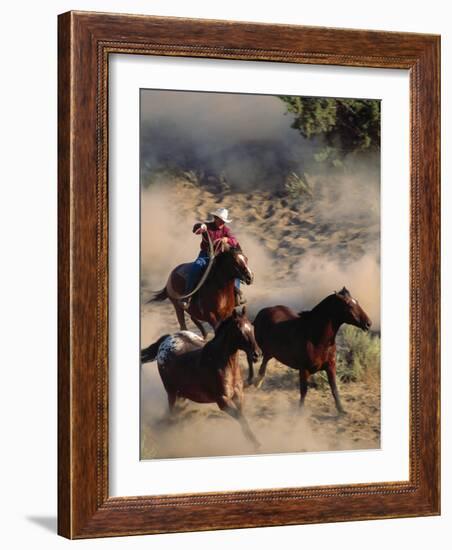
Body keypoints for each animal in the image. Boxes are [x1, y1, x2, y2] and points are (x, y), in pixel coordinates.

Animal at [140, 308, 262, 450]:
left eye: (252, 327)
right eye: (239, 331)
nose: (257, 354)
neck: (221, 363)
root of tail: (166, 340)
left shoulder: (238, 395)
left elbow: (242, 416)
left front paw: (252, 440)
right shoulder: (222, 401)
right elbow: (240, 417)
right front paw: (255, 444)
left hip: (181, 391)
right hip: (171, 390)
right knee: (172, 410)